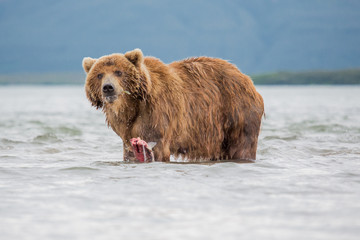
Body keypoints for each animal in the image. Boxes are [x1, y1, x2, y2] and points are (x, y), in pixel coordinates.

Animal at [83, 48, 264, 162]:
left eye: (119, 72)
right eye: (99, 75)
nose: (108, 87)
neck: (131, 105)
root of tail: (246, 78)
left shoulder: (157, 114)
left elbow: (157, 146)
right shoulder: (125, 129)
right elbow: (129, 149)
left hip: (236, 112)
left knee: (241, 145)